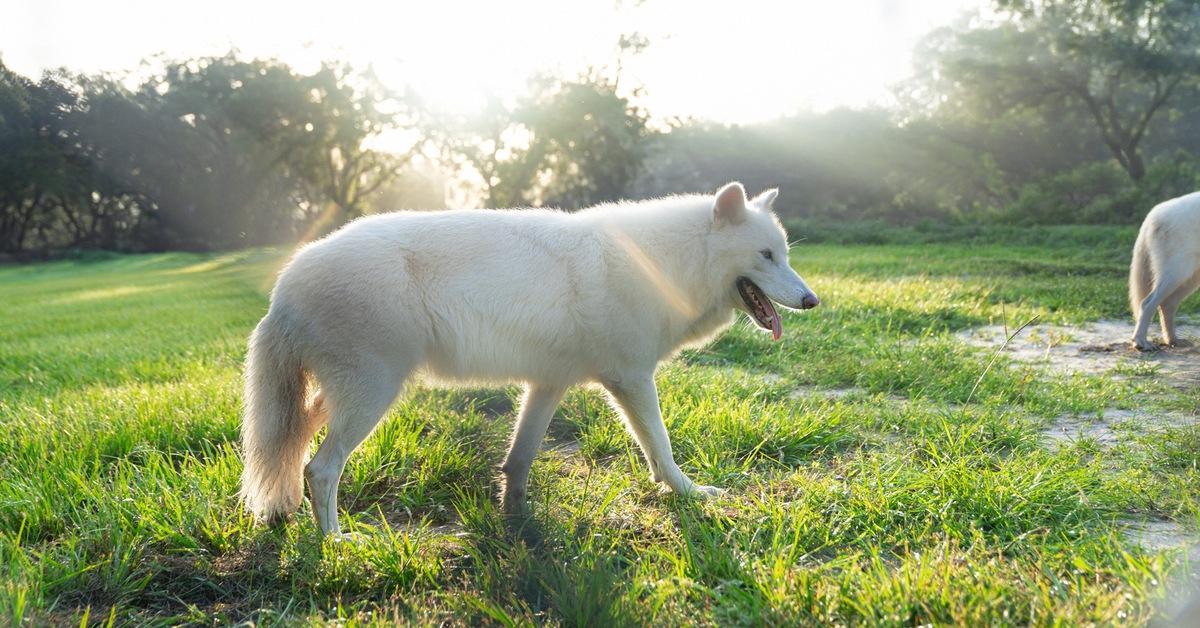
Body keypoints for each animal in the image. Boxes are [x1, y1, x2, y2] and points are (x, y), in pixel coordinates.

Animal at [240, 182, 820, 536]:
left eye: (786, 255)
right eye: (767, 256)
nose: (812, 300)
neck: (665, 263)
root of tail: (283, 287)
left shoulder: (547, 385)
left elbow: (517, 462)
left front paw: (518, 525)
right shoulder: (633, 380)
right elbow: (662, 451)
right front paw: (692, 495)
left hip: (338, 400)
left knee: (292, 449)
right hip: (372, 399)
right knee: (319, 468)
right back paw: (336, 542)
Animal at [1130, 191, 1200, 351]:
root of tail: (1154, 213)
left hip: (1190, 279)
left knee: (1167, 304)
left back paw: (1173, 340)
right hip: (1177, 274)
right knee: (1147, 303)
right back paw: (1141, 342)